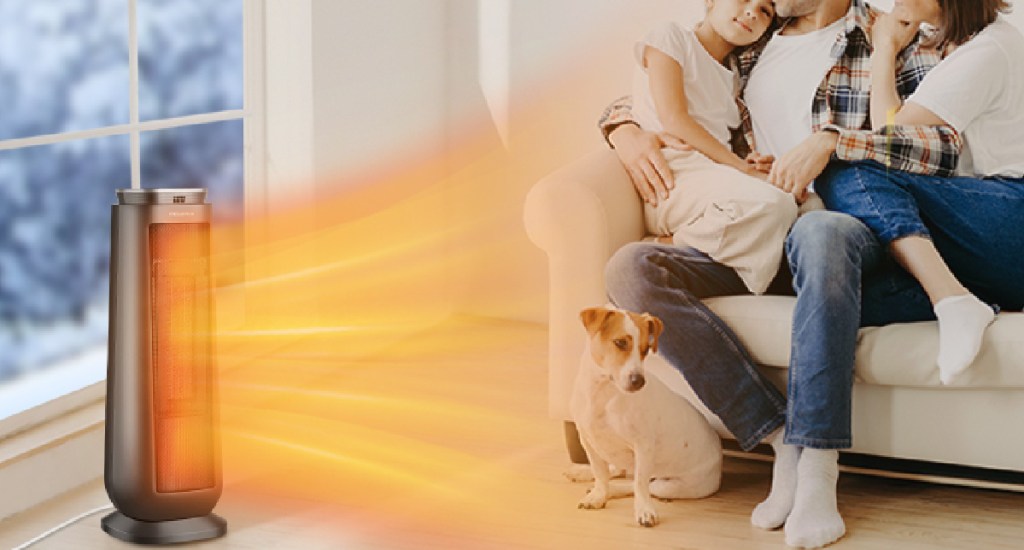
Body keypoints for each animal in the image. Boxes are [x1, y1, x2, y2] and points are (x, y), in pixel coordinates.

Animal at [569, 307, 720, 524]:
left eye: (646, 349)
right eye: (620, 342)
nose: (639, 381)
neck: (604, 394)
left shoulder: (643, 446)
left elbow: (639, 483)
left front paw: (643, 510)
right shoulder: (588, 440)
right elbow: (600, 472)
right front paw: (598, 495)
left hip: (668, 486)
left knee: (638, 484)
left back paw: (614, 490)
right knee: (618, 469)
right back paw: (582, 472)